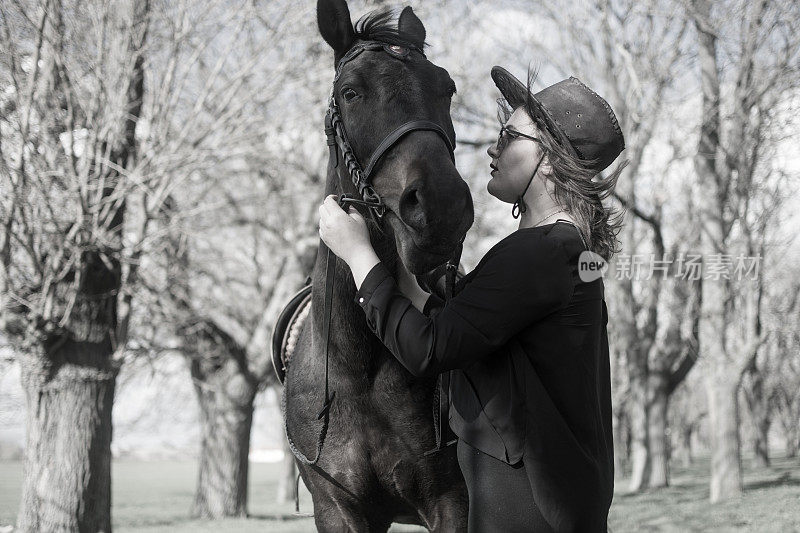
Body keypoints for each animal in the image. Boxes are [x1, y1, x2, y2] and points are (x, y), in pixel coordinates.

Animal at [282, 1, 472, 532]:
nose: (441, 206)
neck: (357, 368)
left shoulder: (452, 502)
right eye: (351, 91)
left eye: (446, 87)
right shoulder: (337, 508)